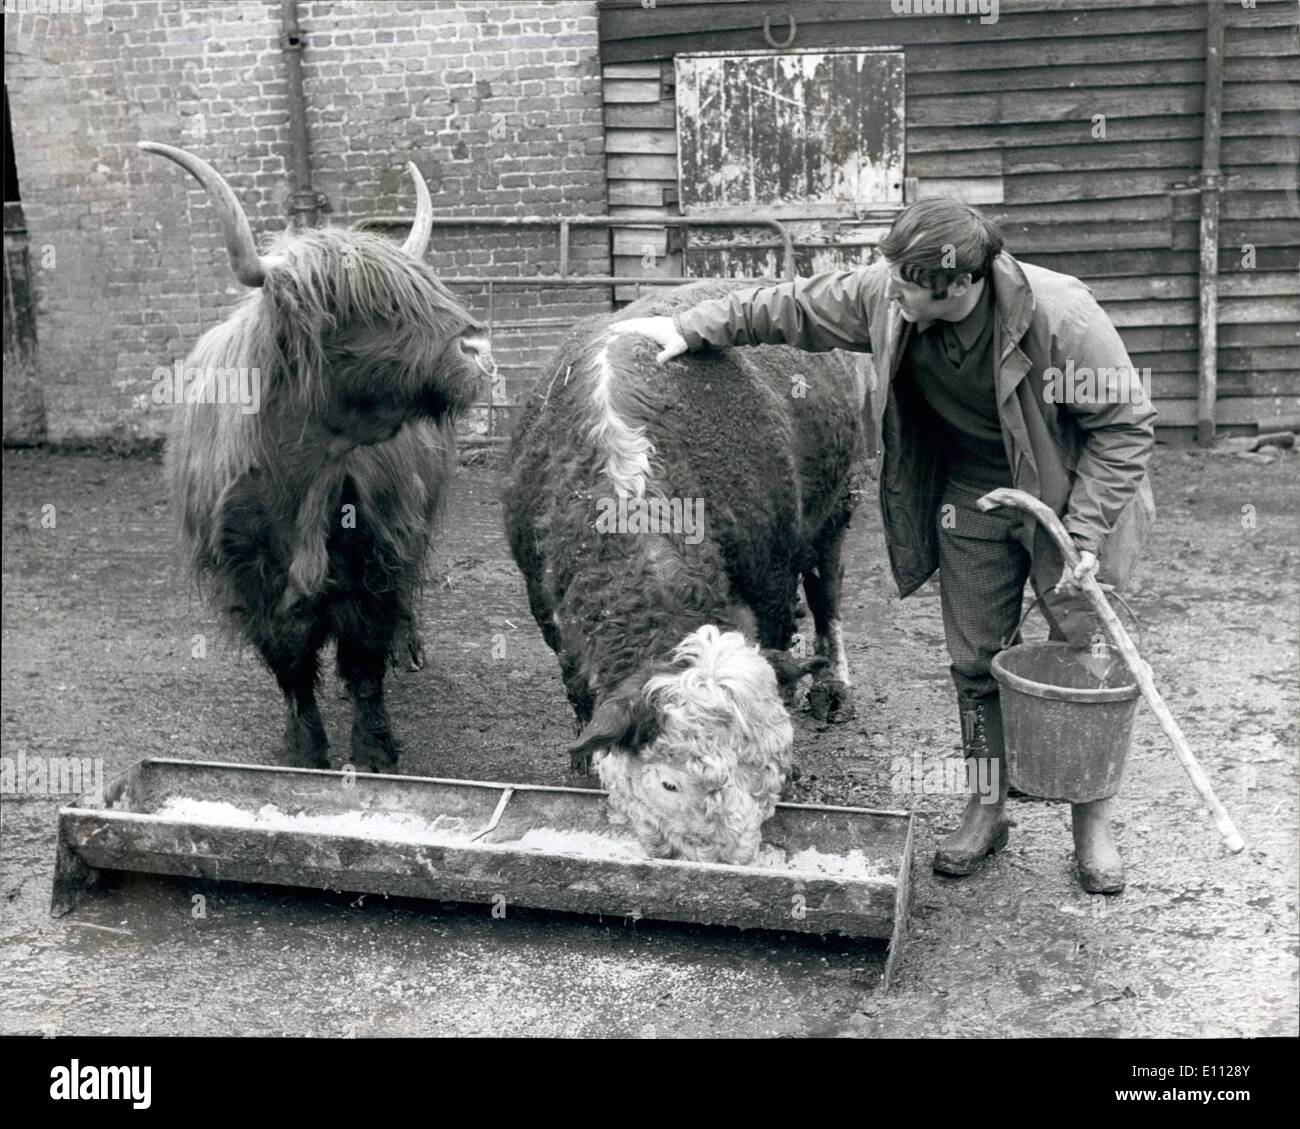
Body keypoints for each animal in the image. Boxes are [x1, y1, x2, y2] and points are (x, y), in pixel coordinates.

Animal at [144, 141, 493, 770]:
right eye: (360, 307)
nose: (476, 347)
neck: (306, 469)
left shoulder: (377, 560)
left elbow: (364, 663)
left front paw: (374, 751)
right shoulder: (250, 579)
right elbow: (291, 668)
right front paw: (306, 749)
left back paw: (411, 648)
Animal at [501, 282, 868, 863]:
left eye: (770, 765)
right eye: (669, 783)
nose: (731, 858)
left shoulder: (771, 576)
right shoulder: (542, 596)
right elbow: (576, 684)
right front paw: (584, 762)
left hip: (837, 506)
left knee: (826, 593)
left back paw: (832, 686)